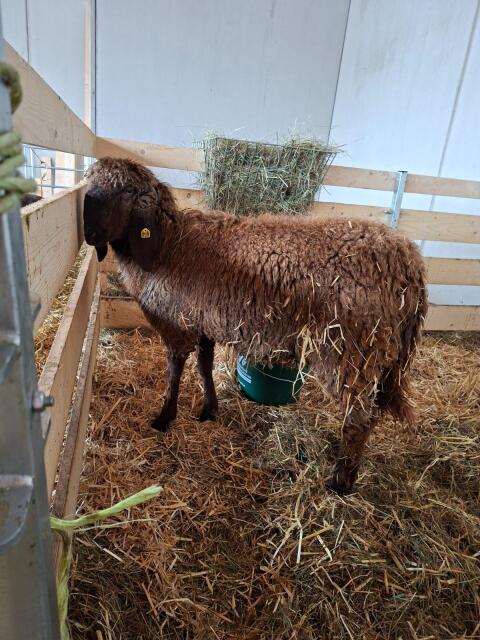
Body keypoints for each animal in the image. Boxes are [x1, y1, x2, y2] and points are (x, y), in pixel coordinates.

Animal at [84, 157, 427, 494]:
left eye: (128, 192)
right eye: (90, 184)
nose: (88, 232)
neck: (167, 245)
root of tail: (409, 262)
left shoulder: (176, 323)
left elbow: (175, 370)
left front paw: (165, 417)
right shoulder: (204, 321)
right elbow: (205, 366)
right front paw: (208, 410)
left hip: (351, 350)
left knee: (360, 417)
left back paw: (340, 481)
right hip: (375, 355)